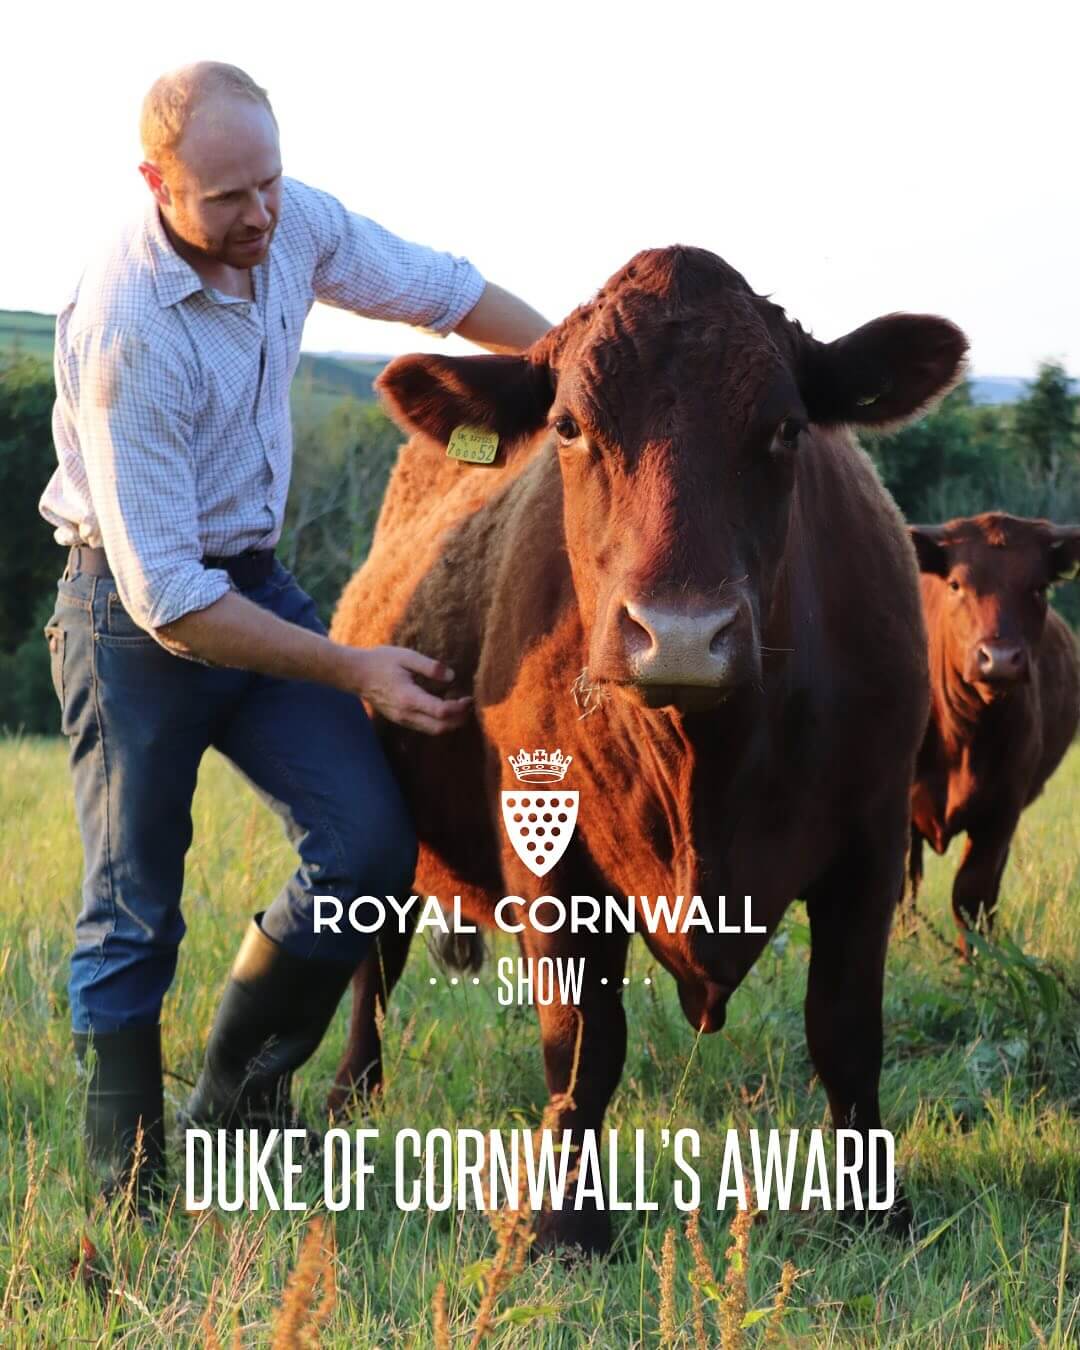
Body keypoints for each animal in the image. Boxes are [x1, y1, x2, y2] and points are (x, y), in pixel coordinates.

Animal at [327, 246, 968, 1254]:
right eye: (569, 426)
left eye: (786, 428)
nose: (679, 636)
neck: (706, 764)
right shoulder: (552, 865)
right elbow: (583, 1043)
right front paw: (564, 1224)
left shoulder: (871, 842)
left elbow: (846, 1033)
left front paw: (877, 1210)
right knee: (376, 964)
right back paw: (352, 1093)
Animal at [907, 513, 1080, 956]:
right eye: (956, 584)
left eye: (1038, 587)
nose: (999, 659)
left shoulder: (1002, 807)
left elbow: (971, 894)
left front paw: (977, 962)